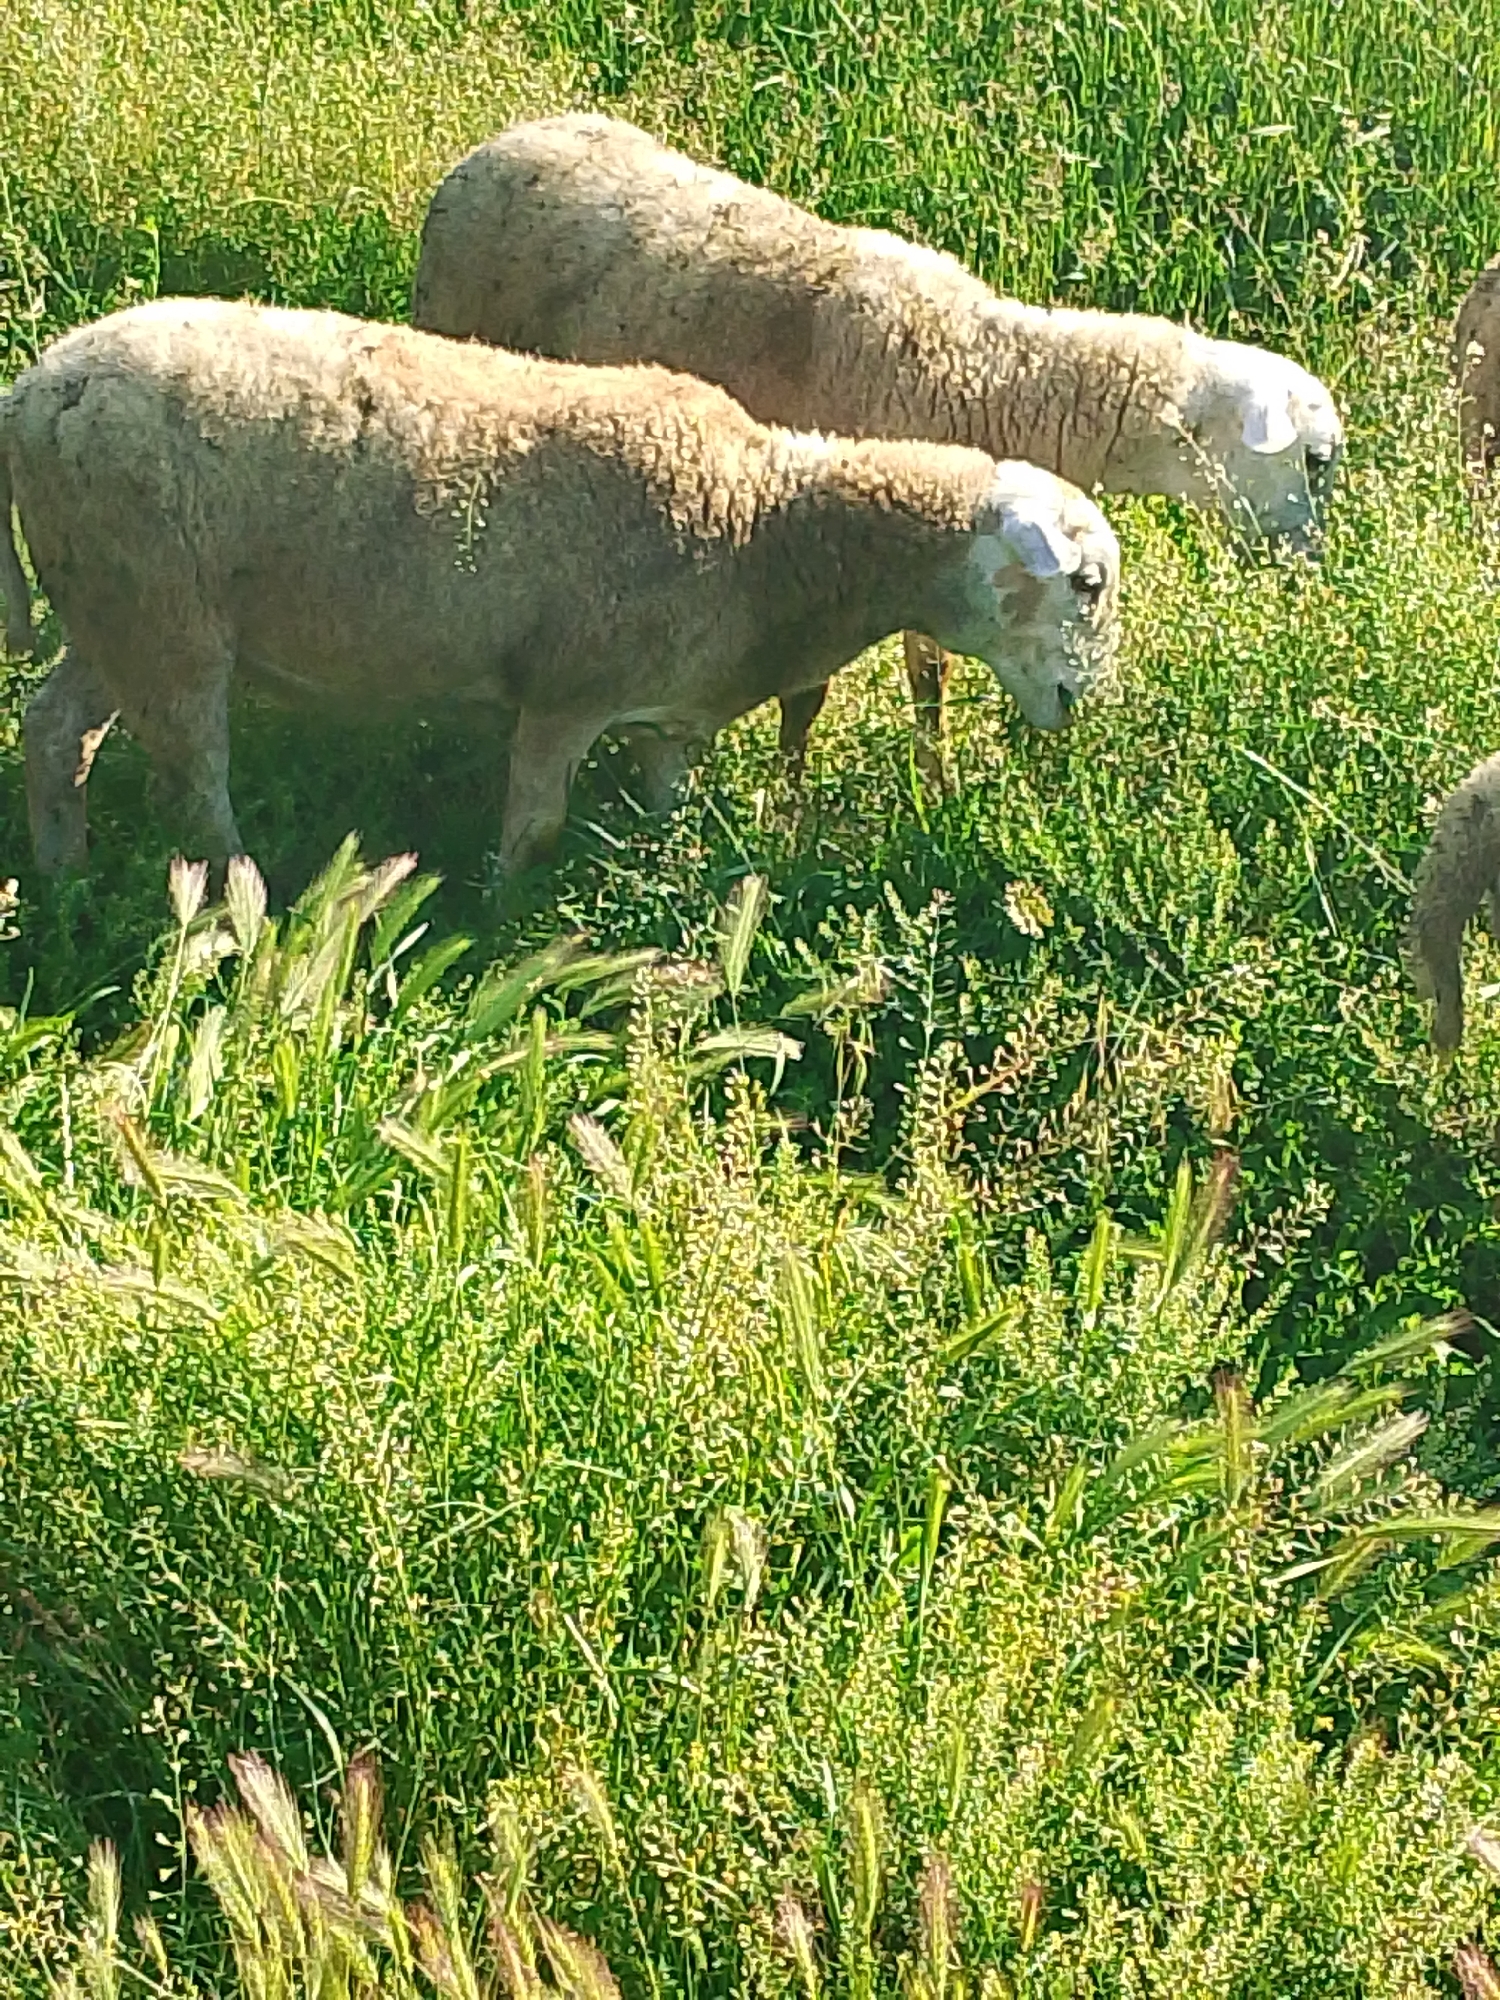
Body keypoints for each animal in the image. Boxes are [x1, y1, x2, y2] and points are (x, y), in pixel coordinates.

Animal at [0, 298, 1120, 879]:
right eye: (1088, 582)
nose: (1080, 705)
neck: (763, 525)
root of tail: (38, 385)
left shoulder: (672, 715)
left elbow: (666, 811)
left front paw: (661, 881)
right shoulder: (565, 693)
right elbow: (531, 833)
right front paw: (501, 928)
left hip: (118, 606)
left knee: (57, 731)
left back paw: (64, 882)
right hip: (161, 613)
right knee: (192, 780)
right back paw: (246, 903)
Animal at [412, 111, 1344, 776]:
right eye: (1314, 460)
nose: (1309, 568)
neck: (993, 376)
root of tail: (498, 144)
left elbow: (930, 681)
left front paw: (935, 786)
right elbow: (812, 695)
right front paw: (790, 807)